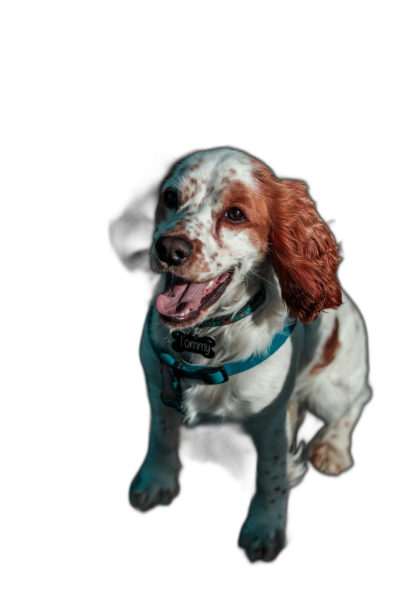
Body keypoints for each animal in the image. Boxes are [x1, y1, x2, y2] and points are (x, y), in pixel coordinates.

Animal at [109, 148, 372, 560]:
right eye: (170, 197)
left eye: (235, 214)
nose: (169, 248)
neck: (205, 337)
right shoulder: (158, 387)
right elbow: (161, 437)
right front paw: (155, 480)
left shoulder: (271, 425)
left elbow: (271, 476)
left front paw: (264, 528)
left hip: (330, 391)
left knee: (358, 398)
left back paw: (333, 447)